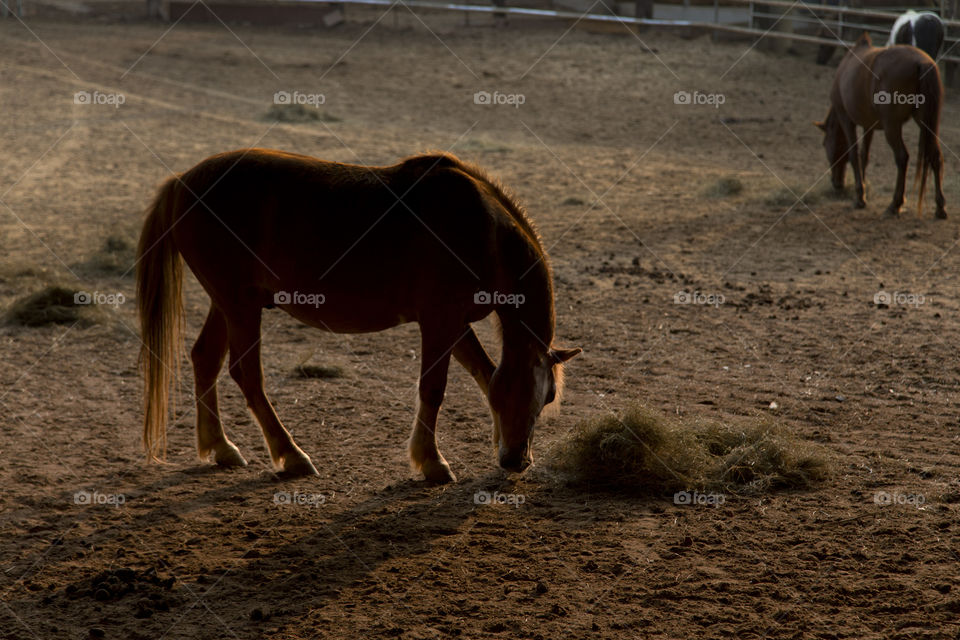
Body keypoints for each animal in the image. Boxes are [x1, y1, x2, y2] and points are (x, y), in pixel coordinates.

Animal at [136, 148, 580, 482]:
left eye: (548, 398)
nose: (516, 460)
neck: (484, 232)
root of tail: (181, 182)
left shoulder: (455, 324)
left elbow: (485, 376)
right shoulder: (439, 320)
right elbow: (434, 389)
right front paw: (431, 461)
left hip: (228, 304)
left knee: (205, 359)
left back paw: (221, 447)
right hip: (240, 307)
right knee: (247, 376)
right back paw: (291, 454)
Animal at [816, 33, 944, 220]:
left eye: (825, 144)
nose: (837, 183)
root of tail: (922, 63)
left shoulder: (846, 119)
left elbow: (853, 154)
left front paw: (860, 198)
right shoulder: (869, 125)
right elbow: (864, 155)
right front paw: (862, 191)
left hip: (892, 126)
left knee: (902, 157)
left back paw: (895, 204)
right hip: (926, 124)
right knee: (935, 156)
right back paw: (940, 207)